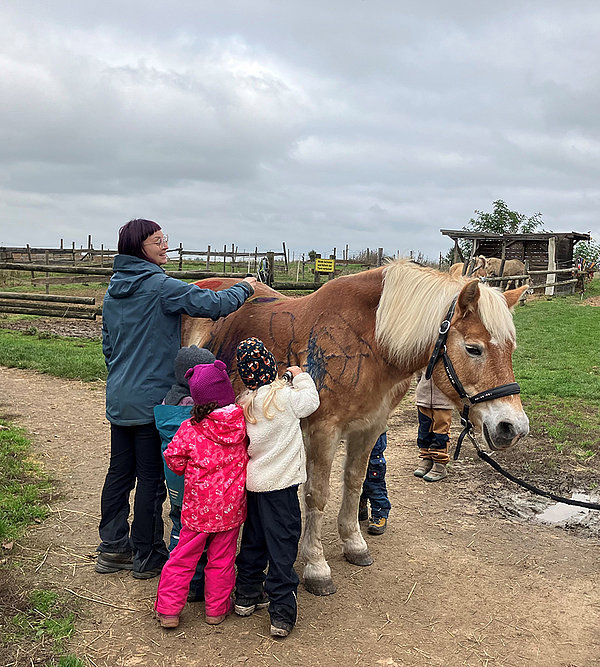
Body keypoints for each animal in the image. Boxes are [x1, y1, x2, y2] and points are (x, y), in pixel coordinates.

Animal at [181, 260, 530, 596]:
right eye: (473, 348)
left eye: (512, 349)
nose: (512, 427)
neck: (372, 340)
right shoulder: (324, 431)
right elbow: (317, 494)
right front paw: (316, 566)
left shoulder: (369, 428)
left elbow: (354, 482)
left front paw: (354, 543)